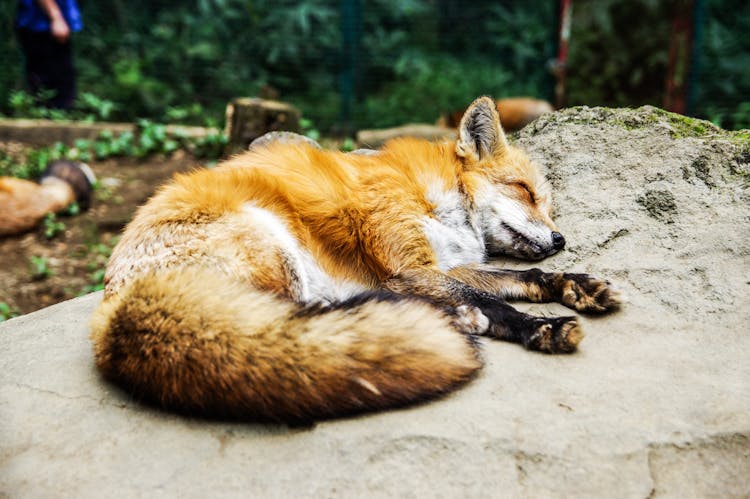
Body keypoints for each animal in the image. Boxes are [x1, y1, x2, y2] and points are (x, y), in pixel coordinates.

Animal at [91, 96, 620, 422]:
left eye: (548, 205)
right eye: (526, 191)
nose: (560, 238)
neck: (434, 196)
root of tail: (113, 308)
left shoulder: (441, 266)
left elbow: (523, 277)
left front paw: (575, 285)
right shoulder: (407, 268)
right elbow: (497, 303)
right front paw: (541, 327)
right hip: (271, 245)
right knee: (294, 324)